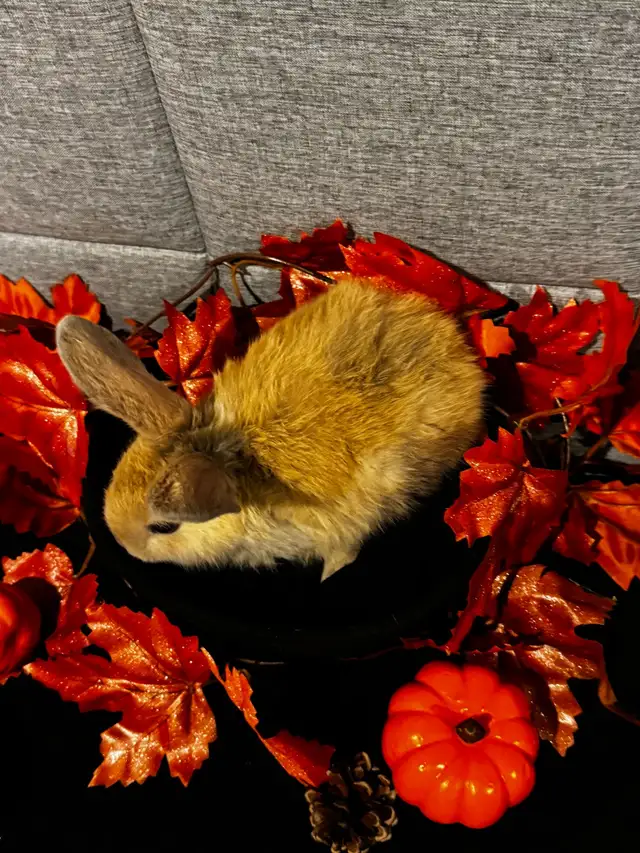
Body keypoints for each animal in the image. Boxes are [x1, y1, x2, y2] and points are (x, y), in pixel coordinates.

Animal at [57, 275, 485, 581]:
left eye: (165, 527)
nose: (127, 546)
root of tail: (457, 348)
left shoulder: (343, 526)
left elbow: (344, 552)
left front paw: (329, 575)